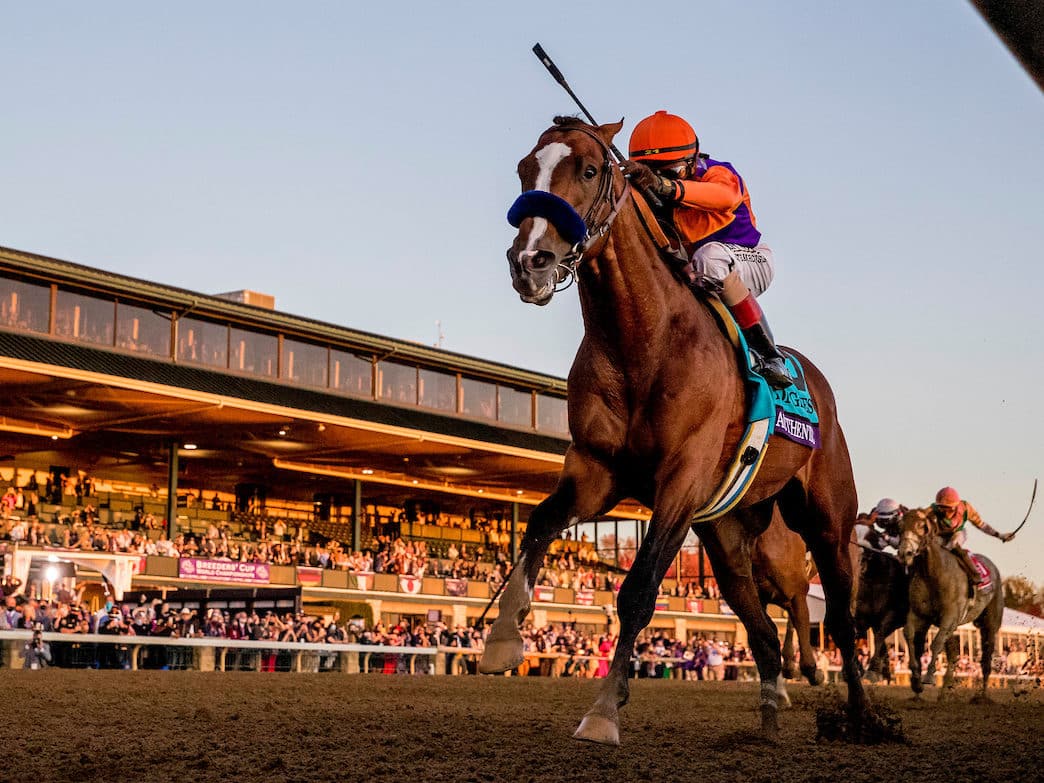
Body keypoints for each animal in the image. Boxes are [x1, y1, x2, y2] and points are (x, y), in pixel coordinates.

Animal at [482, 117, 872, 747]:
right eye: (524, 168)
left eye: (588, 169)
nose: (530, 261)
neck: (644, 339)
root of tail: (814, 379)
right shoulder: (596, 471)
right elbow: (539, 523)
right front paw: (501, 640)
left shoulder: (681, 483)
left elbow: (639, 590)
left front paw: (603, 712)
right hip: (729, 533)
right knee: (761, 626)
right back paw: (769, 716)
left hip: (829, 520)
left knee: (838, 615)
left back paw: (860, 716)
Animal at [897, 509, 1002, 697]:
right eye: (899, 526)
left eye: (921, 526)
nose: (905, 553)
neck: (934, 573)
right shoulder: (919, 614)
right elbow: (909, 634)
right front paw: (916, 679)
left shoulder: (950, 616)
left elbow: (936, 642)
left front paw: (928, 676)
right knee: (953, 655)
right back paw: (944, 693)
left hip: (990, 623)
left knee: (986, 658)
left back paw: (982, 695)